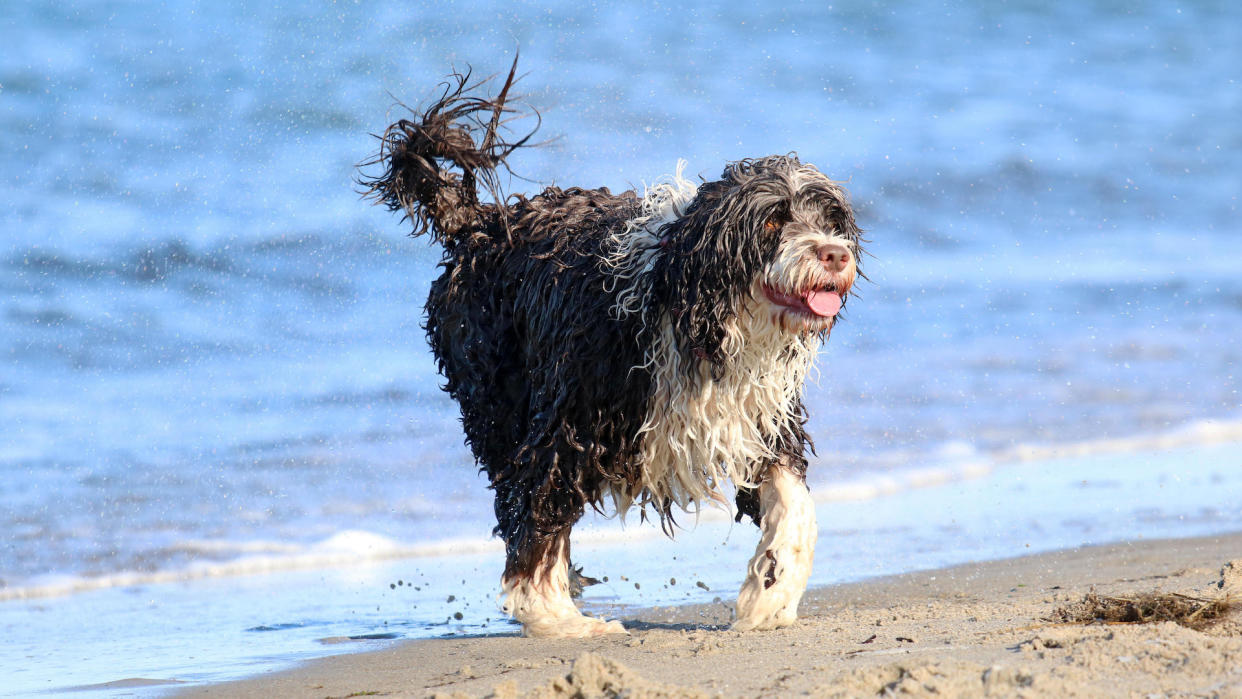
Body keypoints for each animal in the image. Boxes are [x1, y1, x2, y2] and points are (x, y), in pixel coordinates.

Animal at [360, 63, 864, 635]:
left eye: (831, 220)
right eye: (774, 221)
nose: (835, 253)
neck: (688, 304)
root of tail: (480, 223)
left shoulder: (759, 420)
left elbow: (793, 502)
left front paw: (769, 593)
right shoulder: (568, 425)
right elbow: (539, 510)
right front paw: (554, 617)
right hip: (498, 404)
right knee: (514, 502)